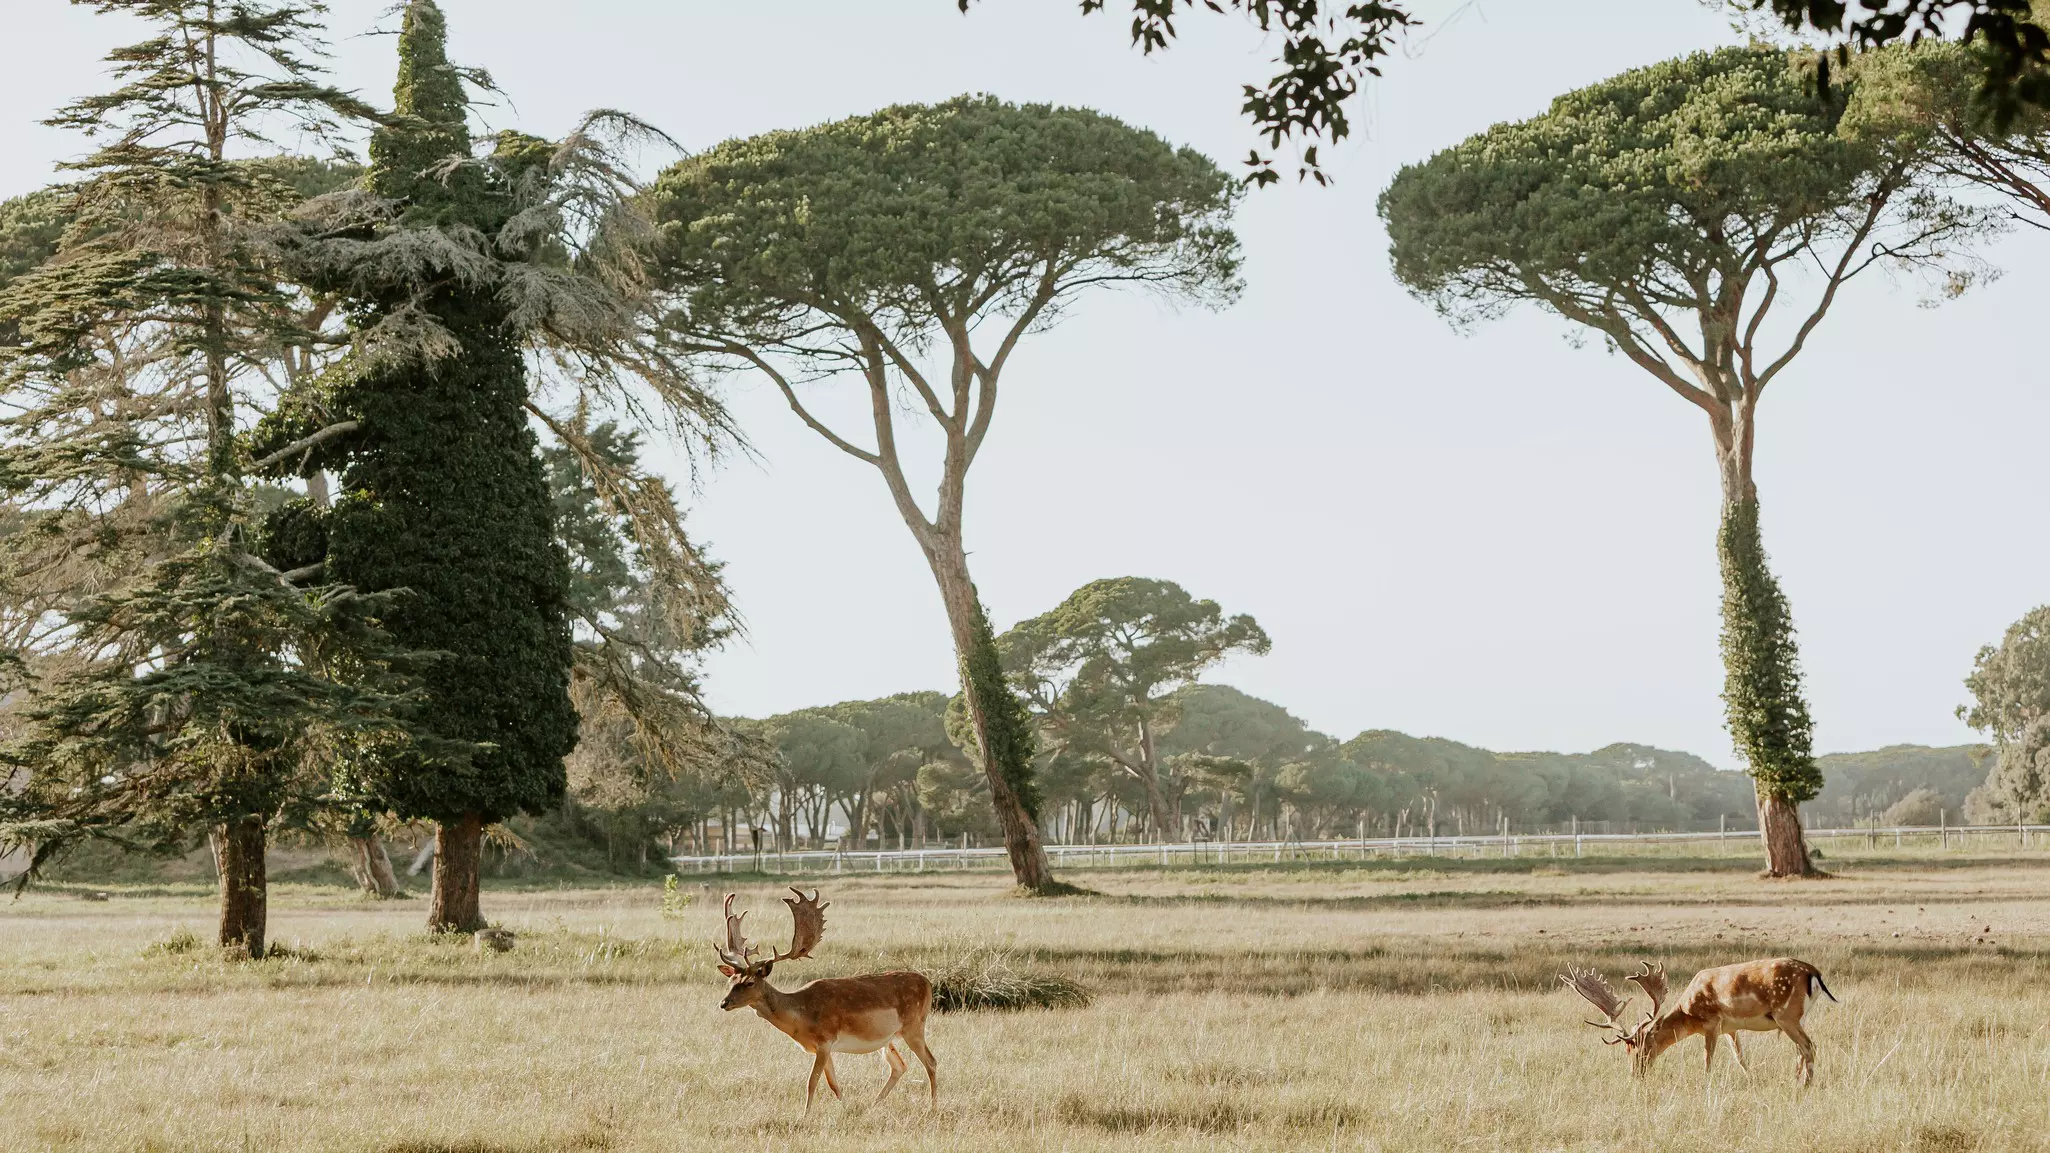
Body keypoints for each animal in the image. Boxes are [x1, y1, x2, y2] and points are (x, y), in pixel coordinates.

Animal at [714, 887, 938, 1110]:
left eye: (750, 982)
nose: (724, 1003)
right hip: (888, 1039)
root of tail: (927, 983)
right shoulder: (820, 1048)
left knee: (931, 1061)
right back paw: (873, 1105)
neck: (802, 1017)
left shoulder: (825, 1041)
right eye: (731, 980)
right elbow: (834, 1085)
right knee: (899, 1066)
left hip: (914, 1027)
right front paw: (845, 1108)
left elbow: (812, 1081)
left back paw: (932, 1107)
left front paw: (805, 1114)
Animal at [1564, 958, 1837, 1086]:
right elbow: (1740, 1057)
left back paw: (1805, 1085)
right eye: (1626, 1050)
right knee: (1802, 1049)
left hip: (1786, 1014)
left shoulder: (1712, 1022)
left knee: (1809, 1046)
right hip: (1796, 1017)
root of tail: (1814, 973)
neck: (1688, 1013)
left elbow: (1707, 1058)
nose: (1635, 1074)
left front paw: (1706, 1082)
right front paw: (1751, 1079)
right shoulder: (1731, 1028)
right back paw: (1795, 1080)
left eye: (1643, 1047)